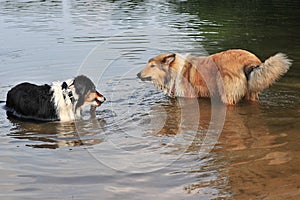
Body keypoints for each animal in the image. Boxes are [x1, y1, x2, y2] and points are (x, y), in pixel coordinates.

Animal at [137, 49, 292, 104]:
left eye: (152, 66)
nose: (137, 74)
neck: (175, 70)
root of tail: (250, 61)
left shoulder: (188, 97)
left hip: (227, 95)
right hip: (251, 94)